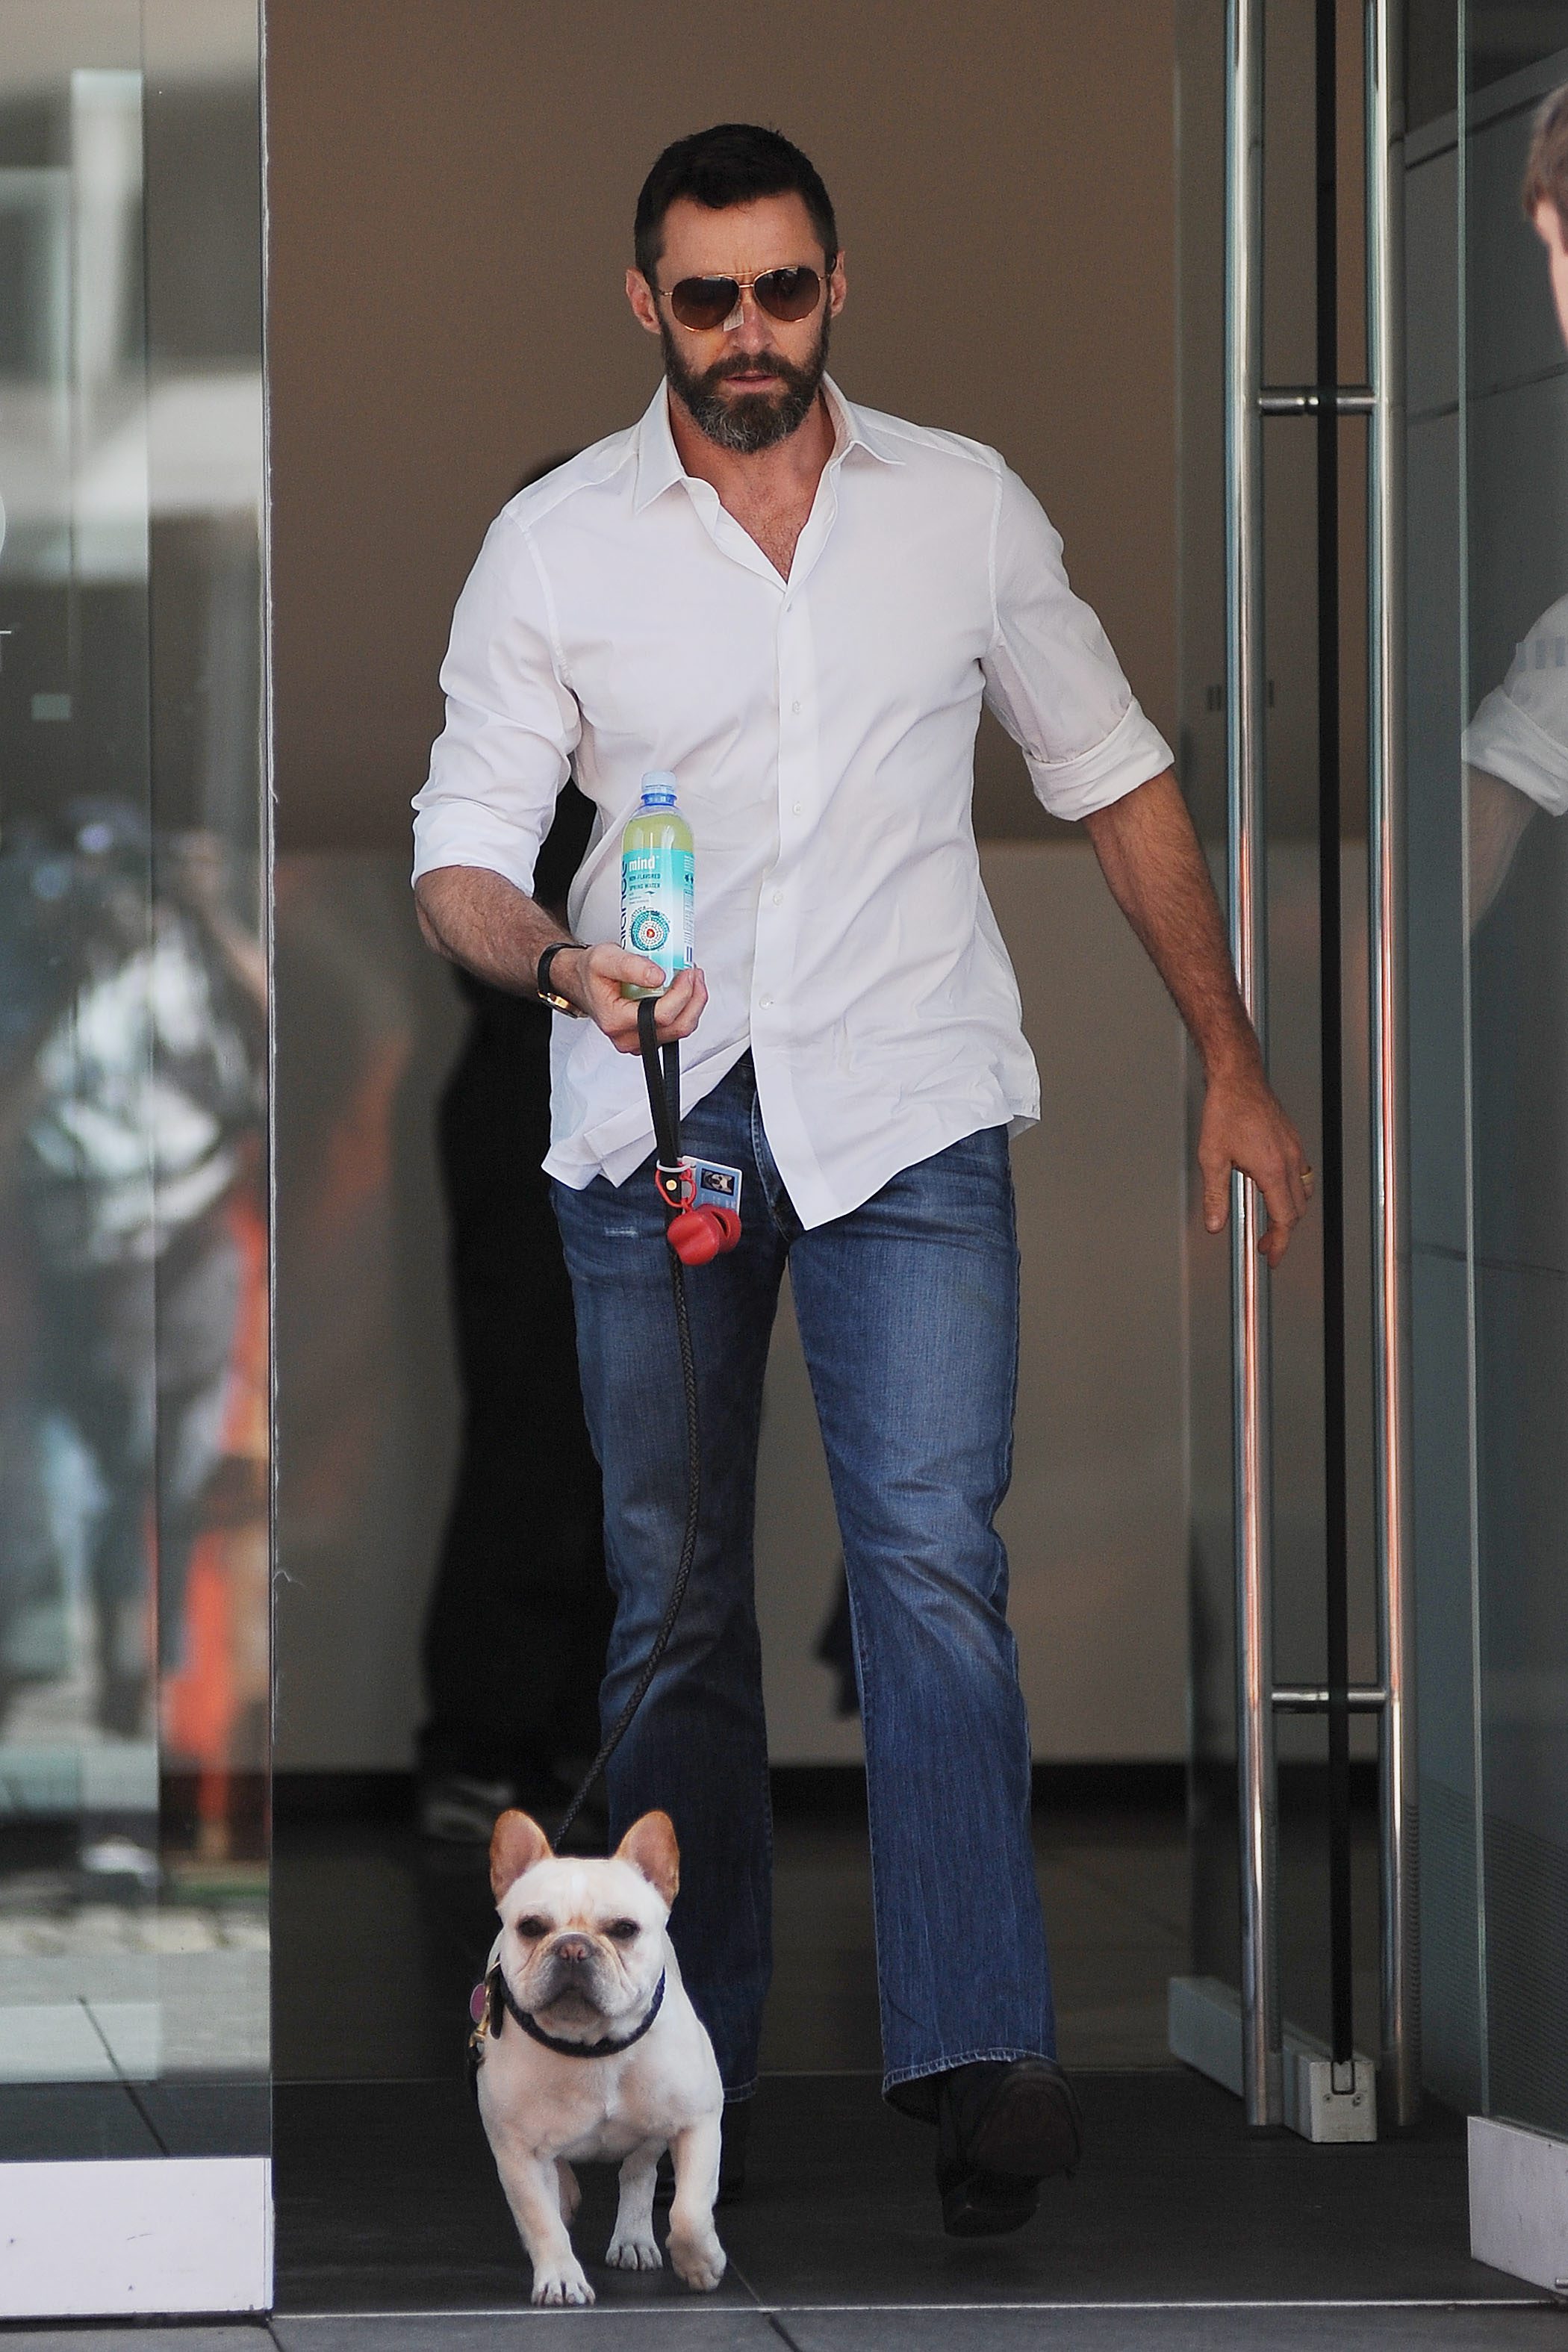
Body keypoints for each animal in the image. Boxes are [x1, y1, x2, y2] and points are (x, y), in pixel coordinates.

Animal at [472, 1806, 727, 2307]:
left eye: (624, 1930)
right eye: (531, 1927)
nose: (573, 1946)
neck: (593, 2045)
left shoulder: (699, 2122)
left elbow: (689, 2210)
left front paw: (700, 2262)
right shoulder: (517, 2151)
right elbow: (542, 2220)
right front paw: (560, 2276)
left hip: (653, 2129)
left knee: (640, 2172)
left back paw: (634, 2237)